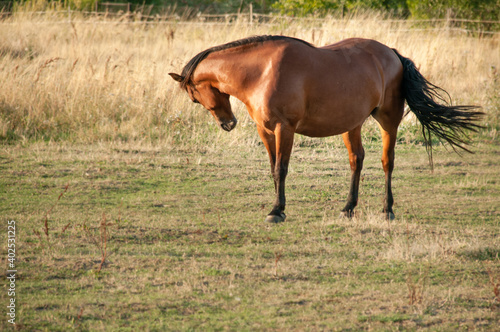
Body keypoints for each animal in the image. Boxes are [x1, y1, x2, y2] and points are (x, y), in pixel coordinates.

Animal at [170, 35, 482, 223]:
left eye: (194, 97)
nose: (228, 124)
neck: (262, 72)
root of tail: (392, 54)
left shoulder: (285, 129)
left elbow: (281, 169)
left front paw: (277, 211)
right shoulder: (265, 131)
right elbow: (272, 168)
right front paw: (277, 207)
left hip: (388, 120)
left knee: (387, 162)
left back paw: (387, 209)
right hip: (351, 124)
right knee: (356, 160)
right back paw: (348, 208)